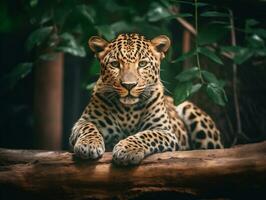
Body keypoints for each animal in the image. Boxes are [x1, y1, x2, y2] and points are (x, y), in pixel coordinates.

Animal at [69, 33, 223, 166]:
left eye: (142, 64)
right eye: (115, 64)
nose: (129, 85)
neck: (128, 111)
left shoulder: (165, 131)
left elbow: (147, 135)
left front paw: (126, 149)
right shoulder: (84, 121)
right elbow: (88, 127)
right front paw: (88, 145)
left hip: (191, 112)